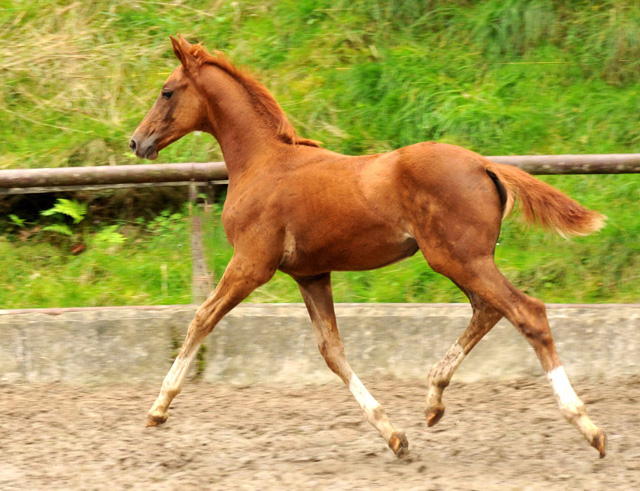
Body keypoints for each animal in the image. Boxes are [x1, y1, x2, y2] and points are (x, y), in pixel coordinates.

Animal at [130, 35, 604, 462]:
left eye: (166, 91)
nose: (137, 142)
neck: (263, 163)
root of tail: (484, 164)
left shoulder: (251, 263)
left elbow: (202, 319)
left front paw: (158, 409)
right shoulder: (311, 274)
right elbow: (332, 352)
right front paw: (395, 437)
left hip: (459, 258)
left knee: (527, 312)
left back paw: (588, 426)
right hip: (461, 260)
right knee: (488, 311)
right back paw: (433, 401)